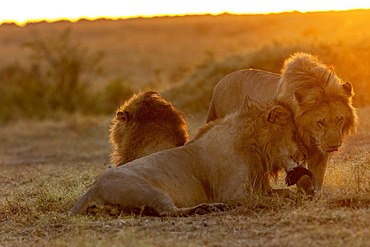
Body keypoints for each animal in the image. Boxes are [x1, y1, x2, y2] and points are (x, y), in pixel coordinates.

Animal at [71, 101, 308, 215]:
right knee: (168, 212)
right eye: (293, 132)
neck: (254, 145)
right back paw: (207, 208)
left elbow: (283, 193)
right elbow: (271, 199)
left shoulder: (259, 186)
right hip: (149, 190)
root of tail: (91, 190)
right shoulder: (234, 194)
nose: (303, 155)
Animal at [207, 52, 356, 191]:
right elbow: (303, 177)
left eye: (340, 119)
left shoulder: (320, 152)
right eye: (320, 122)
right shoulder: (295, 150)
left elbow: (318, 176)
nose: (333, 145)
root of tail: (217, 86)